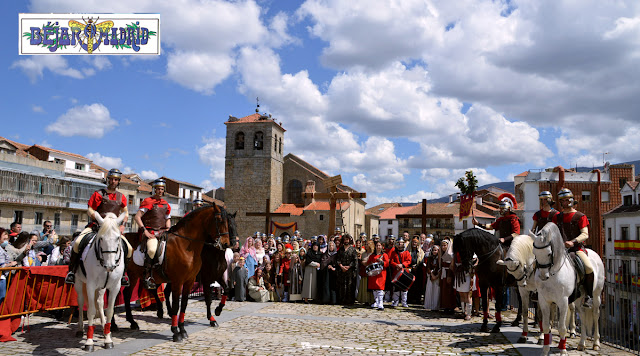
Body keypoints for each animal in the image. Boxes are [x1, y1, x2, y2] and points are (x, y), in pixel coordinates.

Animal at [74, 211, 125, 350]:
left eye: (118, 238)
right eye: (101, 238)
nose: (110, 266)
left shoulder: (115, 287)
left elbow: (110, 311)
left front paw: (108, 339)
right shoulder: (90, 285)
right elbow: (91, 311)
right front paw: (89, 342)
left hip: (101, 287)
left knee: (100, 302)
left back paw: (103, 328)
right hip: (79, 283)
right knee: (81, 301)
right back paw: (80, 329)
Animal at [532, 221, 604, 354]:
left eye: (549, 253)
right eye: (535, 253)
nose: (543, 276)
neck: (553, 273)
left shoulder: (563, 301)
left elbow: (562, 328)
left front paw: (563, 351)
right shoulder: (544, 301)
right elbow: (546, 326)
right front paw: (545, 351)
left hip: (596, 295)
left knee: (596, 314)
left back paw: (596, 343)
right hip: (579, 298)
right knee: (582, 314)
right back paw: (582, 343)